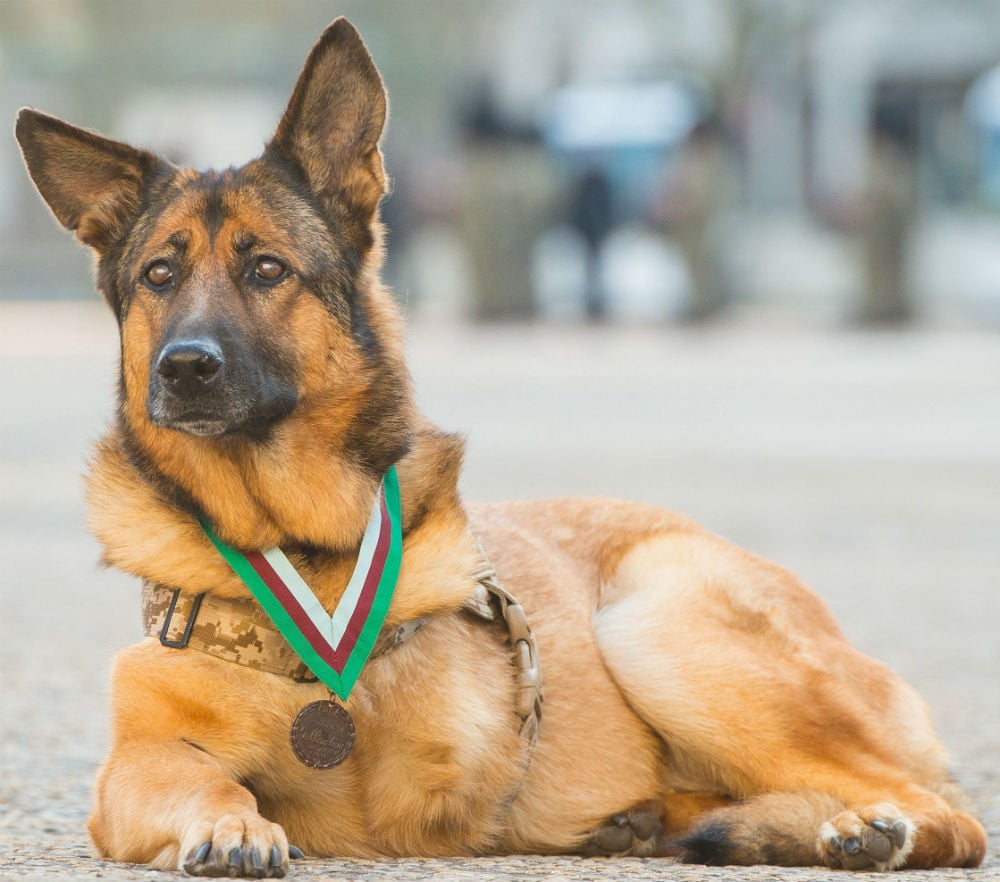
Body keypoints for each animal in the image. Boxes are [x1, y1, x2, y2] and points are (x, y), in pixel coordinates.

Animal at [13, 17, 984, 876]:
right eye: (160, 275)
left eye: (266, 270)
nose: (183, 368)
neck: (300, 545)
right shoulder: (131, 770)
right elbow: (202, 776)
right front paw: (231, 822)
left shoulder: (448, 771)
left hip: (655, 627)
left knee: (949, 812)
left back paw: (866, 831)